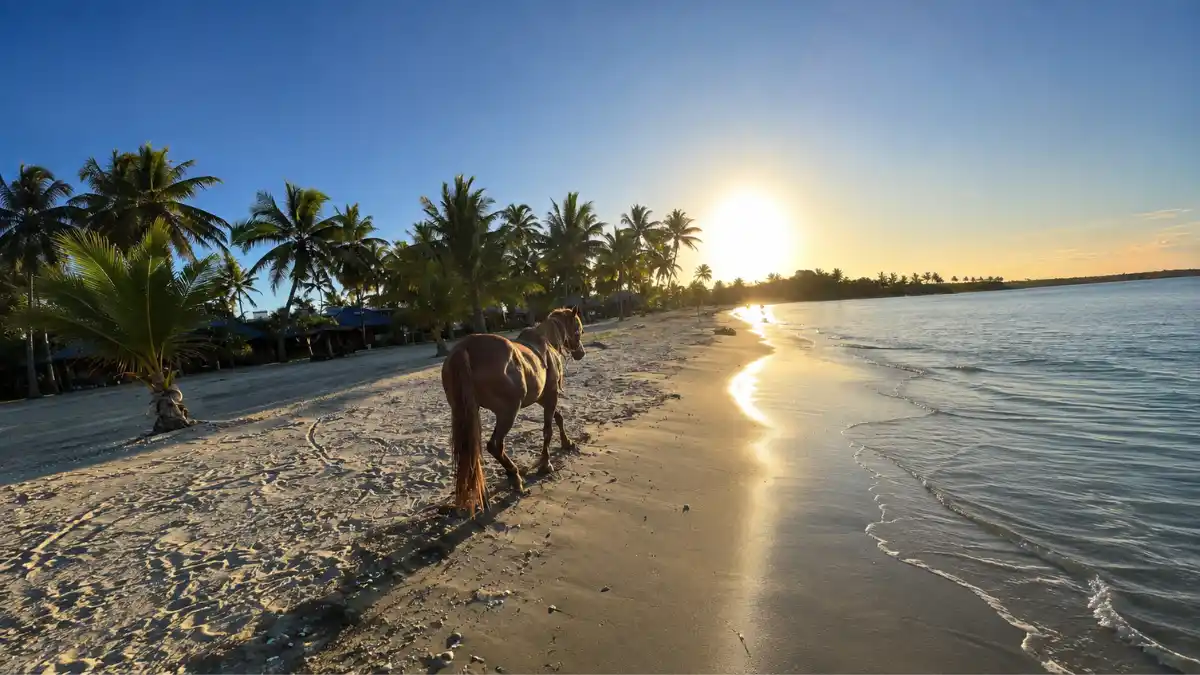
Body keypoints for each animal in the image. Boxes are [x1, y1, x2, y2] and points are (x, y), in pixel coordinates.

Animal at [441, 306, 586, 512]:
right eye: (579, 330)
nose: (581, 352)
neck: (547, 341)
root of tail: (464, 348)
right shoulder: (551, 396)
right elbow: (548, 430)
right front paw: (546, 463)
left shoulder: (543, 398)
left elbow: (558, 418)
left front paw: (567, 443)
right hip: (508, 413)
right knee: (494, 445)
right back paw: (514, 477)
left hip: (467, 413)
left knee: (472, 452)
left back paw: (484, 492)